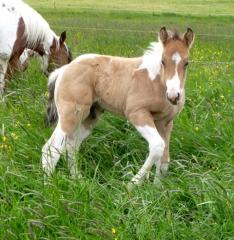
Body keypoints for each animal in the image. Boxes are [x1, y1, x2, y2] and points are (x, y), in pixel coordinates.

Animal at [41, 27, 194, 187]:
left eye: (186, 63)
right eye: (163, 61)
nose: (173, 96)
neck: (156, 81)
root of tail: (64, 69)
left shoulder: (165, 123)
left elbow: (163, 161)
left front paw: (157, 189)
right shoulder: (137, 113)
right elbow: (157, 146)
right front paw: (131, 186)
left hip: (90, 116)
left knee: (71, 147)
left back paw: (79, 181)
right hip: (70, 114)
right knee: (51, 149)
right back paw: (50, 188)